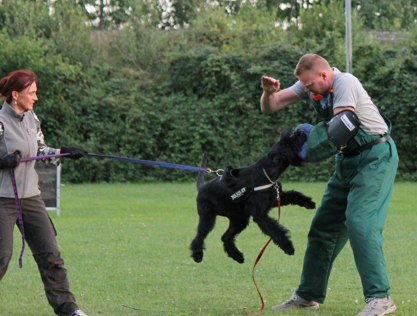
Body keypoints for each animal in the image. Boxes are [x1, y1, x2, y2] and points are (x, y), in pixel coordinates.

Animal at [190, 129, 314, 264]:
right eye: (287, 143)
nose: (300, 132)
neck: (267, 172)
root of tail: (201, 188)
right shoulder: (260, 215)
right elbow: (275, 230)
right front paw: (288, 247)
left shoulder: (275, 198)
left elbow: (294, 195)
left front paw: (308, 203)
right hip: (208, 217)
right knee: (199, 236)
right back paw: (197, 255)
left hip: (240, 219)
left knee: (226, 237)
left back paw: (237, 256)